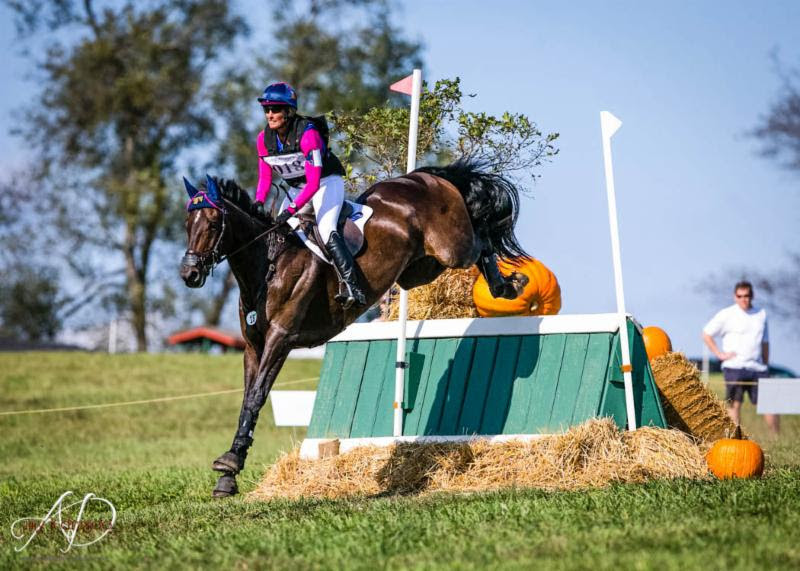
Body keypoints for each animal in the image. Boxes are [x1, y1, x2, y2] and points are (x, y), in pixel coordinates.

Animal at [180, 159, 530, 497]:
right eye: (188, 225)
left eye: (213, 224)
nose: (190, 274)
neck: (269, 266)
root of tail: (424, 177)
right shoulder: (254, 345)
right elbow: (248, 399)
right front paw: (228, 475)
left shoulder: (281, 338)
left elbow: (256, 396)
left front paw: (230, 462)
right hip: (419, 268)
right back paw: (504, 285)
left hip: (451, 248)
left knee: (481, 240)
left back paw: (509, 284)